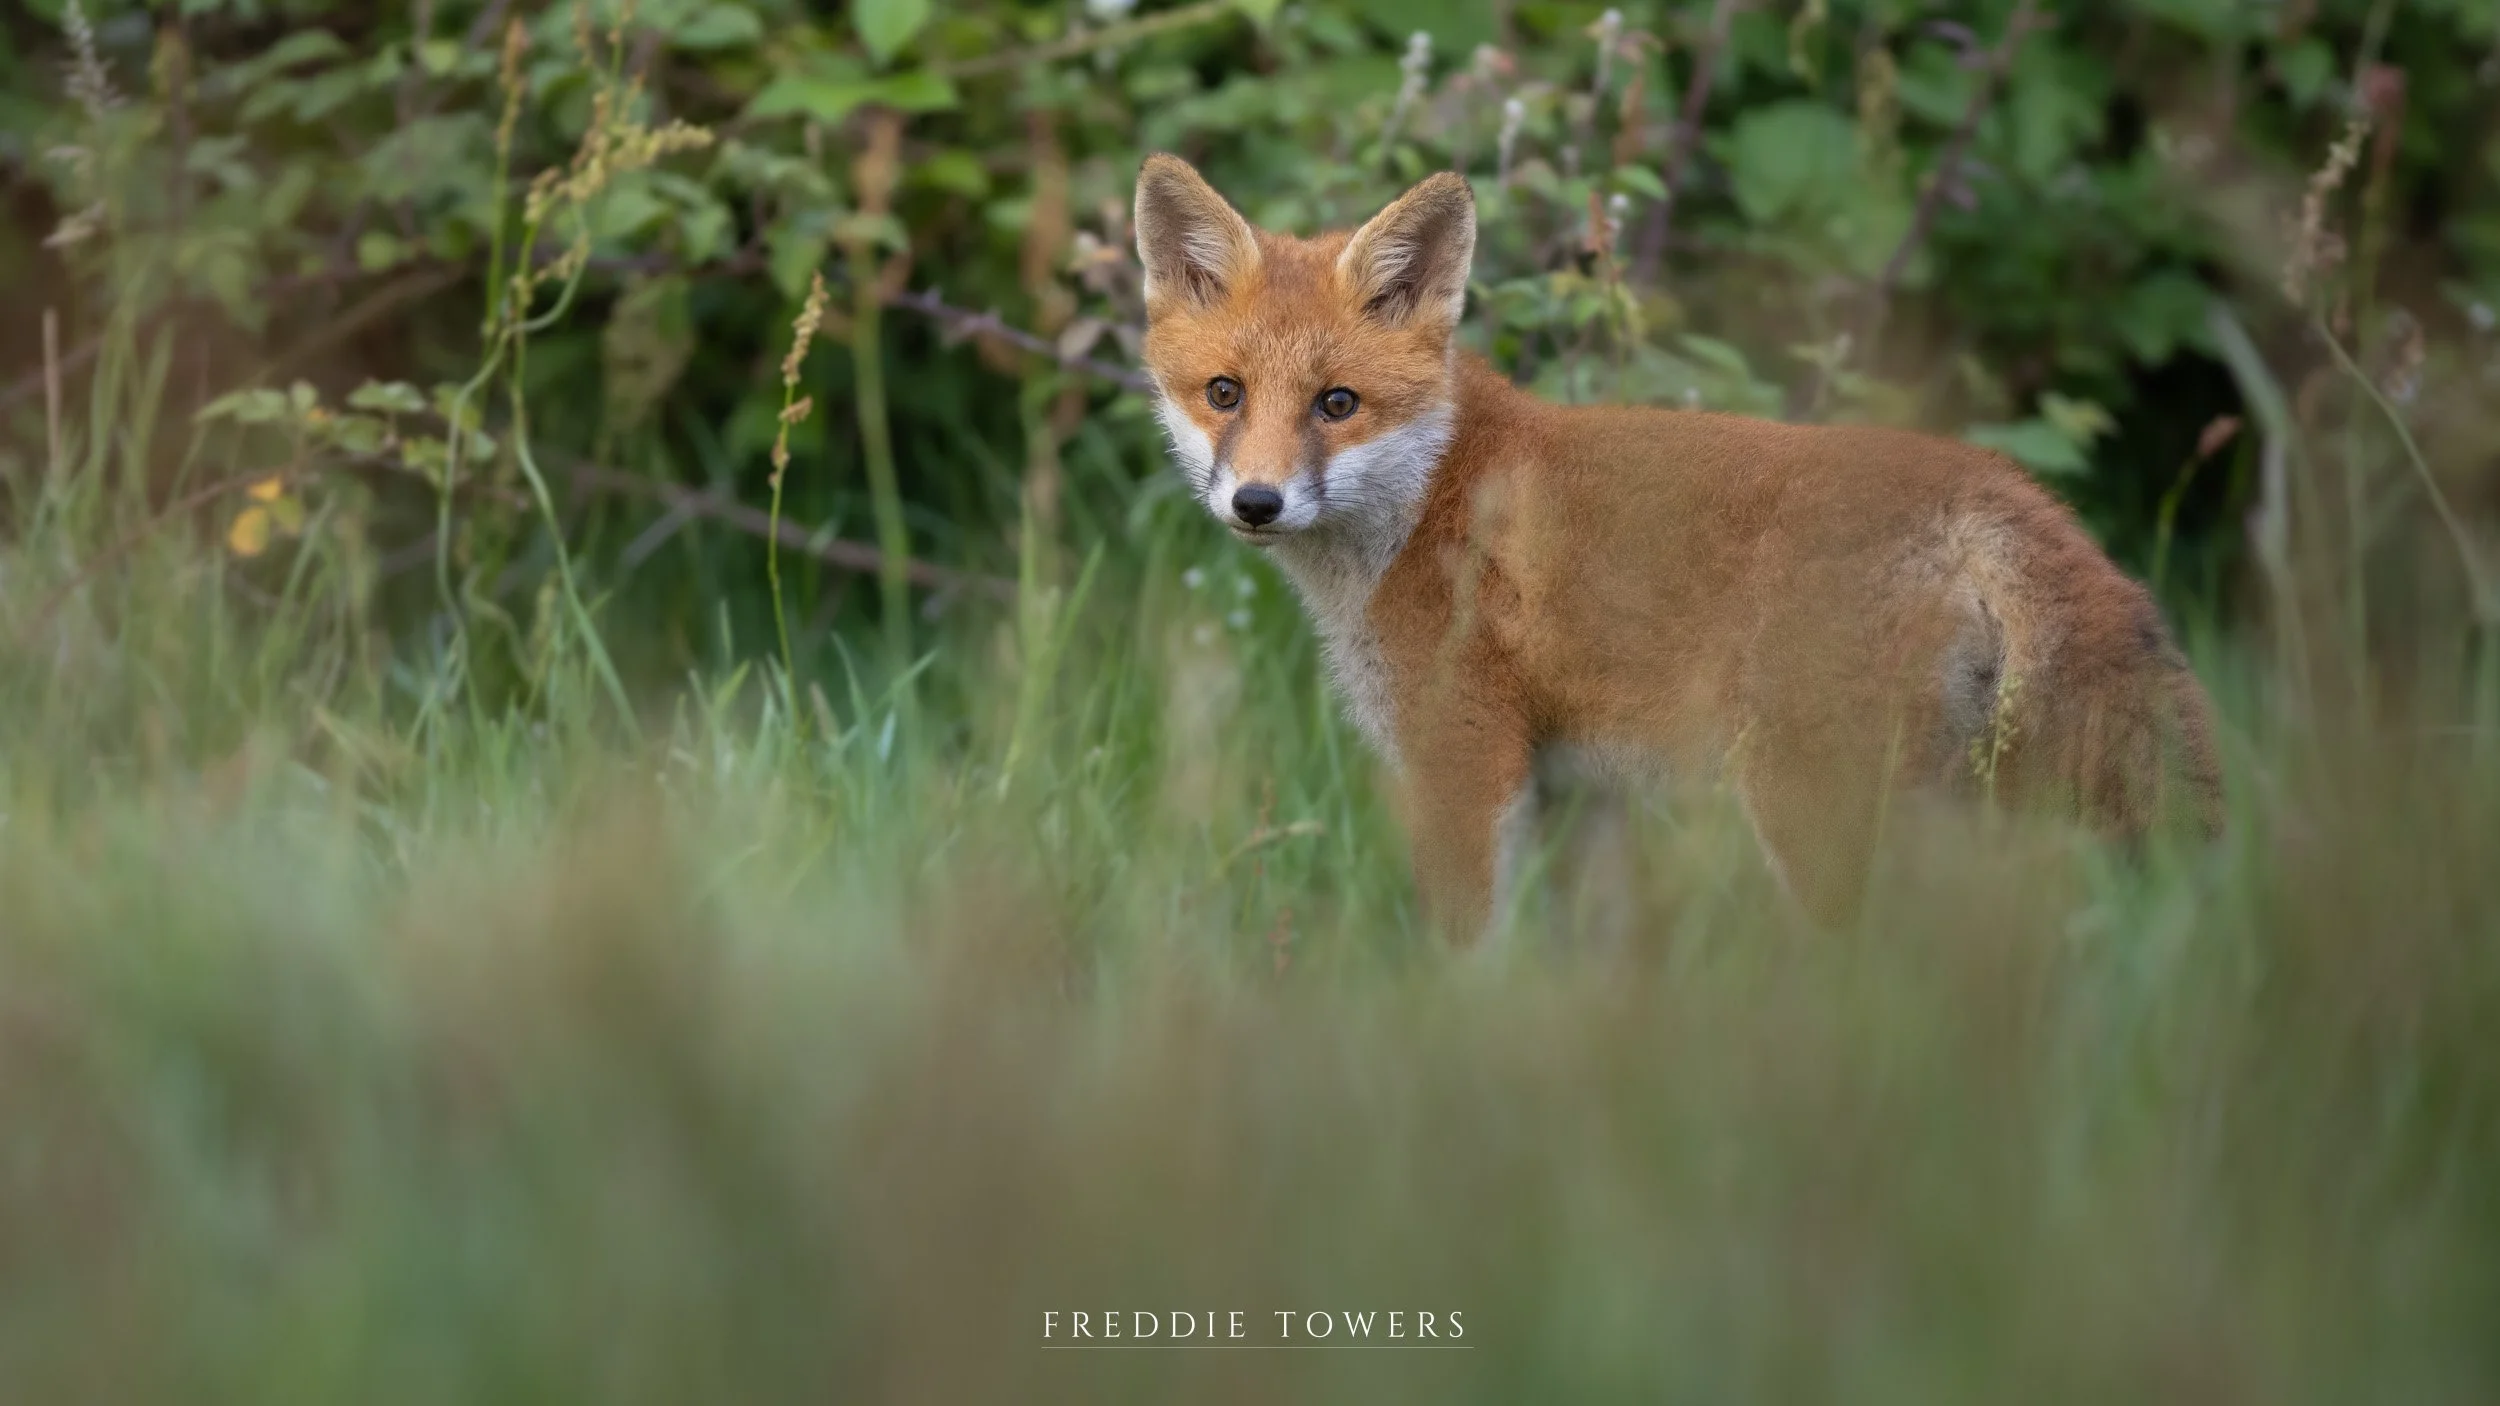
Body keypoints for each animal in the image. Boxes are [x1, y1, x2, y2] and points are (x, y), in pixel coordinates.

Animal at [1132, 153, 2223, 940]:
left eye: (1337, 404)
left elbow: (1472, 959)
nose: (1257, 501)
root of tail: (1998, 486)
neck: (1435, 493)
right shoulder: (1580, 791)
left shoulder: (1463, 758)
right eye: (1224, 393)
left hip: (1816, 809)